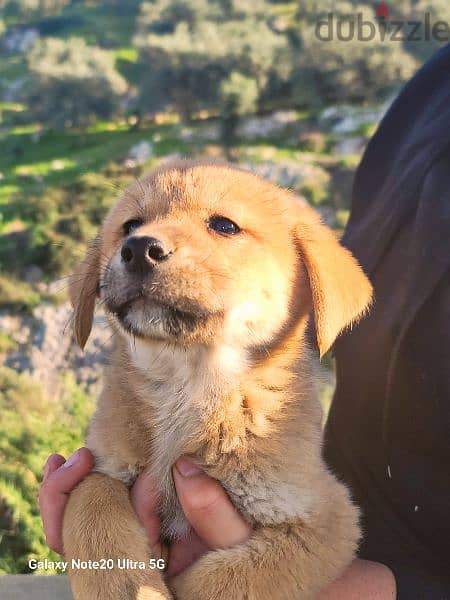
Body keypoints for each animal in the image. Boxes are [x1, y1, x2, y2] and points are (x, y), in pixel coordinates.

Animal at [64, 161, 372, 600]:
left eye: (224, 225)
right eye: (130, 225)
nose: (138, 248)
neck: (190, 384)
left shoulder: (326, 515)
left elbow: (229, 580)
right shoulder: (101, 465)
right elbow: (90, 502)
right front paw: (125, 585)